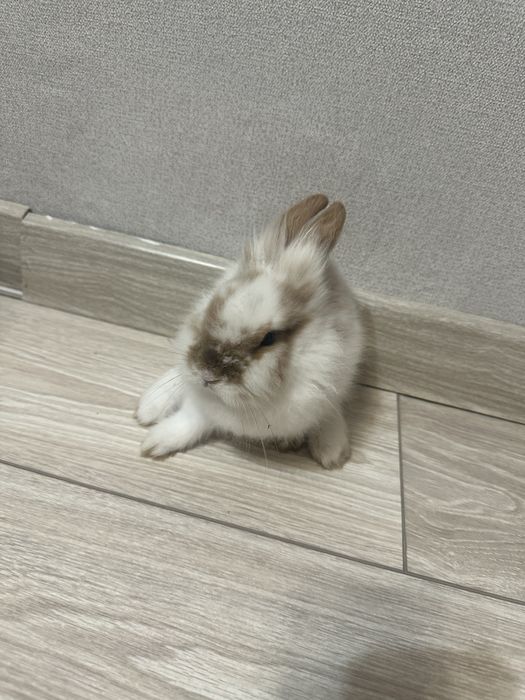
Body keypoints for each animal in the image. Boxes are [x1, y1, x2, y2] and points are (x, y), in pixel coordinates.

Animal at [136, 193, 364, 469]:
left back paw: (331, 450)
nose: (207, 376)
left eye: (269, 338)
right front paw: (155, 442)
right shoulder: (205, 404)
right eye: (213, 306)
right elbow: (192, 419)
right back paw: (148, 407)